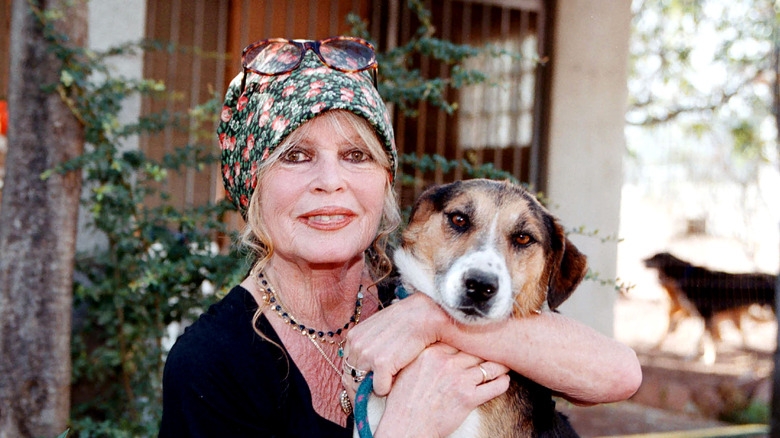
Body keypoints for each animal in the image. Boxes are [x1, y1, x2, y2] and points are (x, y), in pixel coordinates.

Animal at [644, 252, 776, 364]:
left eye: (655, 256)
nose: (643, 260)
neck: (686, 276)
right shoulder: (700, 316)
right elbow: (700, 338)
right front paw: (693, 355)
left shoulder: (706, 315)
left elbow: (706, 339)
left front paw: (708, 359)